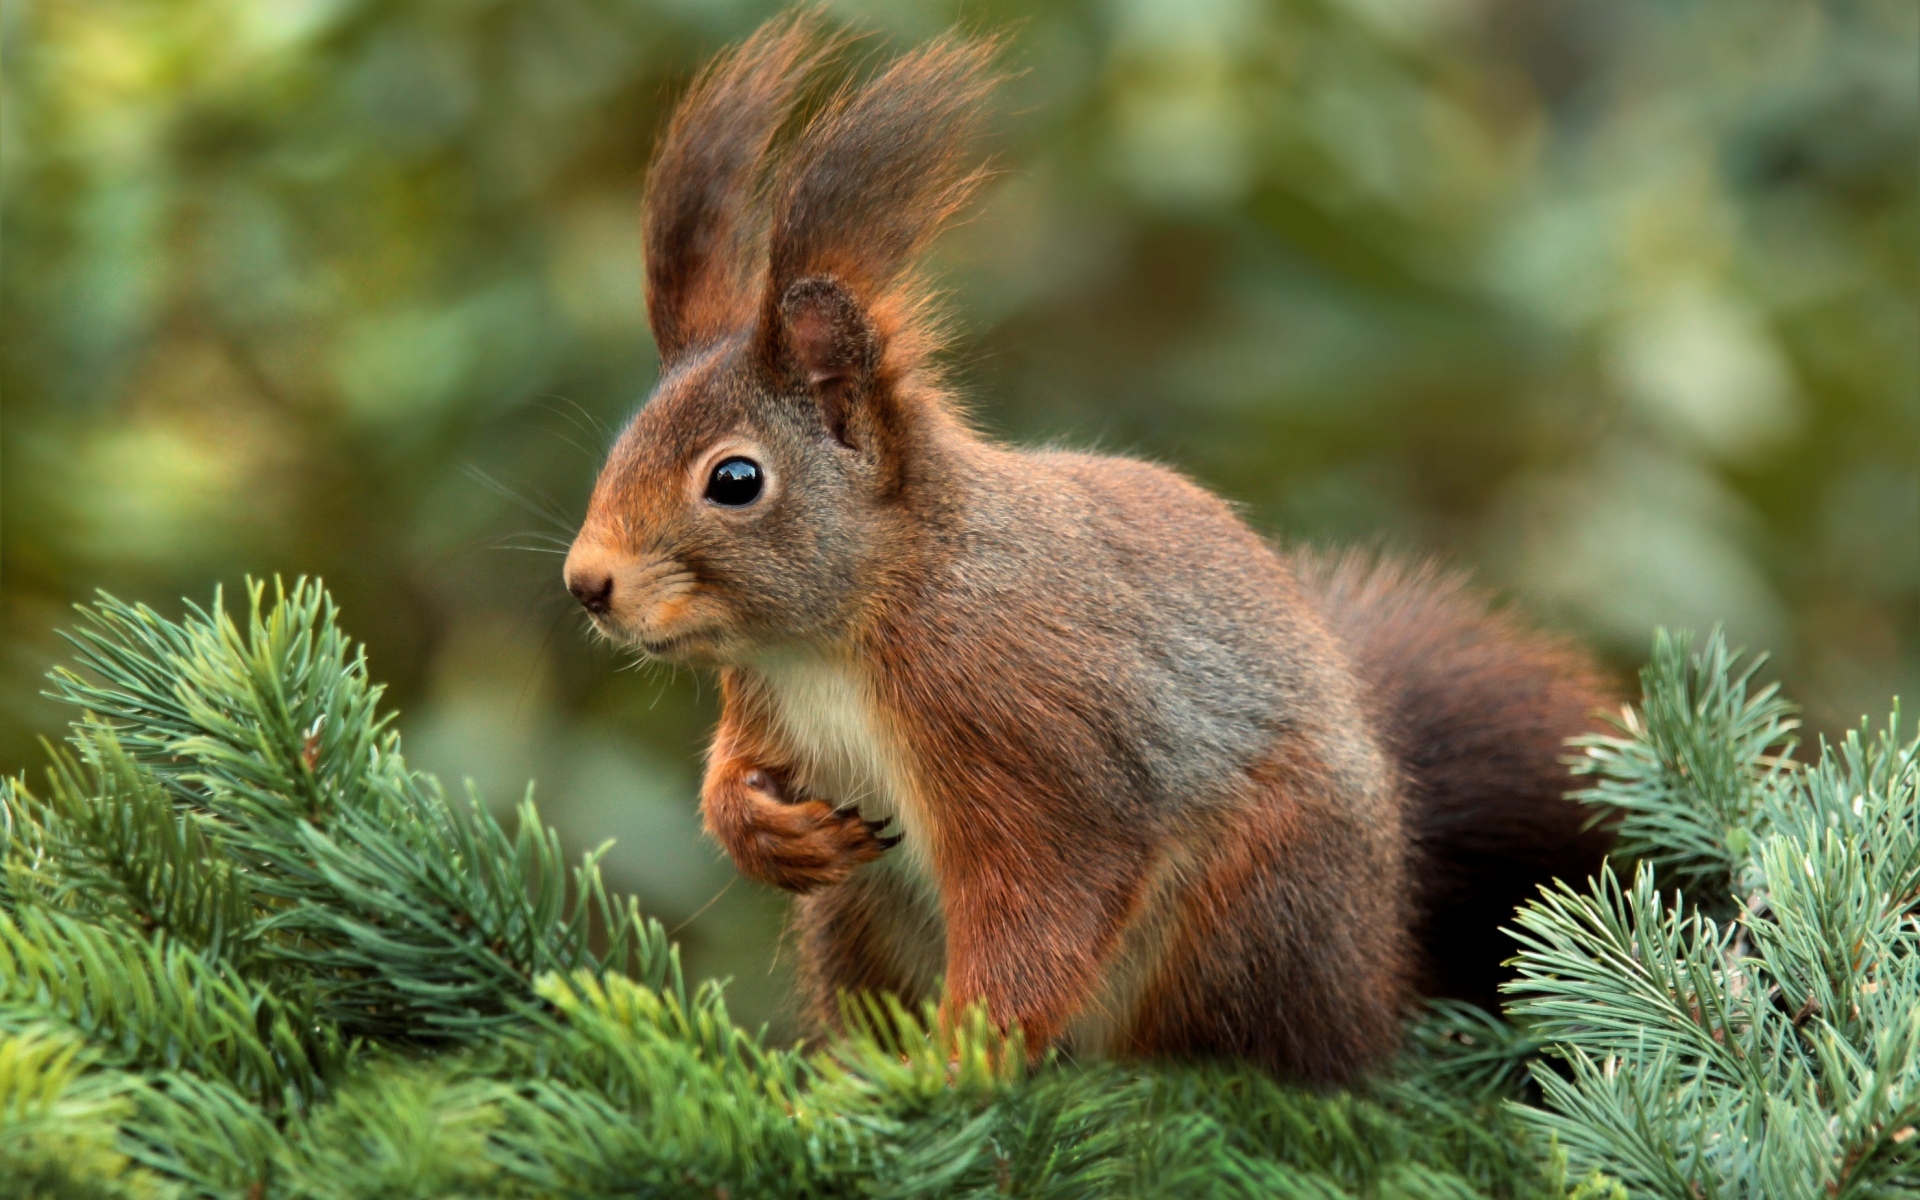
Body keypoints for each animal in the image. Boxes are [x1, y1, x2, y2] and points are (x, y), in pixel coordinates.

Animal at [562, 15, 1614, 1086]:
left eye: (735, 480)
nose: (586, 583)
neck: (839, 636)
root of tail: (1378, 971)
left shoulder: (1024, 727)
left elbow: (1044, 902)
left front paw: (957, 1068)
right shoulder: (765, 699)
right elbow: (732, 771)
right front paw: (762, 828)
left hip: (1254, 905)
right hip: (859, 917)